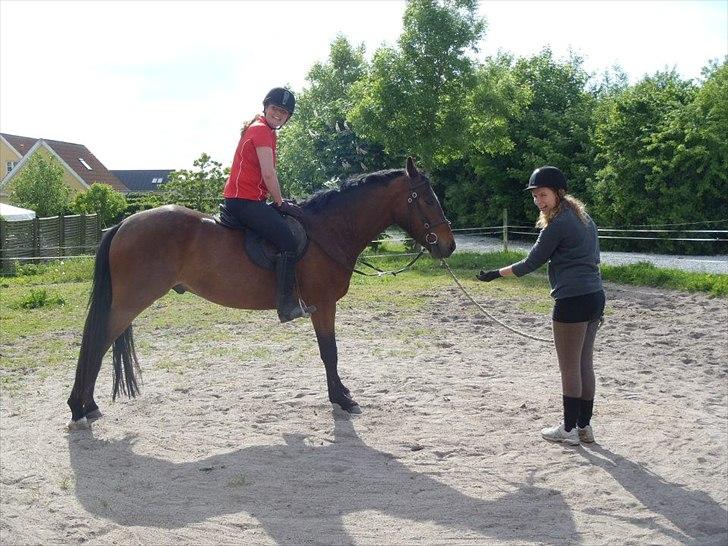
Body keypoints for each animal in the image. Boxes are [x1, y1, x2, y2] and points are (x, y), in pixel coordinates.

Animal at [68, 155, 456, 428]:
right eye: (425, 199)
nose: (448, 245)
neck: (326, 230)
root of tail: (122, 224)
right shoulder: (323, 304)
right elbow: (329, 353)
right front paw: (342, 398)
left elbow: (329, 353)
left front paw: (340, 394)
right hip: (129, 303)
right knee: (96, 343)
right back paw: (78, 408)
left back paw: (87, 405)